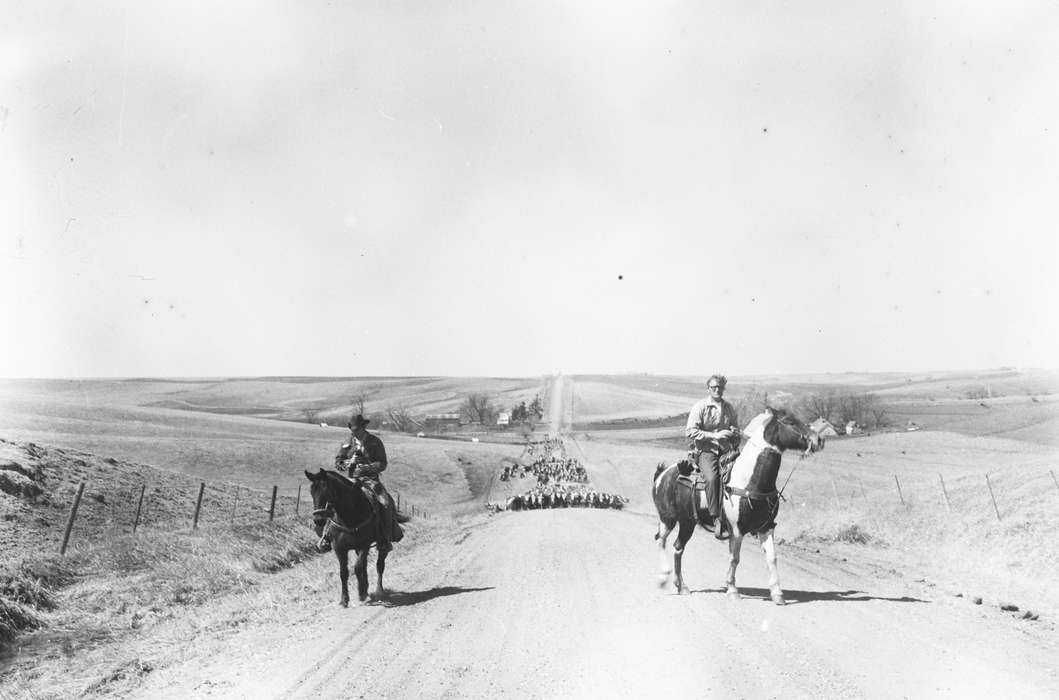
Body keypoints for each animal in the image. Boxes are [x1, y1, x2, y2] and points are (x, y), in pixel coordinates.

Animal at [304, 468, 408, 607]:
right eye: (311, 492)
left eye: (326, 491)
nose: (318, 520)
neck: (349, 517)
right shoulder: (339, 548)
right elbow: (344, 572)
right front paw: (344, 599)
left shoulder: (364, 545)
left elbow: (358, 568)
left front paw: (361, 593)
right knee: (365, 566)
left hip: (382, 546)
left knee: (379, 565)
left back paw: (378, 591)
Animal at [652, 406, 823, 602]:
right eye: (790, 421)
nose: (818, 439)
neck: (750, 481)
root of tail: (663, 473)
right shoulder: (736, 529)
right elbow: (735, 558)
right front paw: (732, 589)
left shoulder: (767, 527)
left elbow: (772, 557)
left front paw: (777, 593)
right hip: (668, 519)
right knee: (661, 541)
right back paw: (664, 578)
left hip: (688, 522)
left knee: (678, 548)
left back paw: (682, 587)